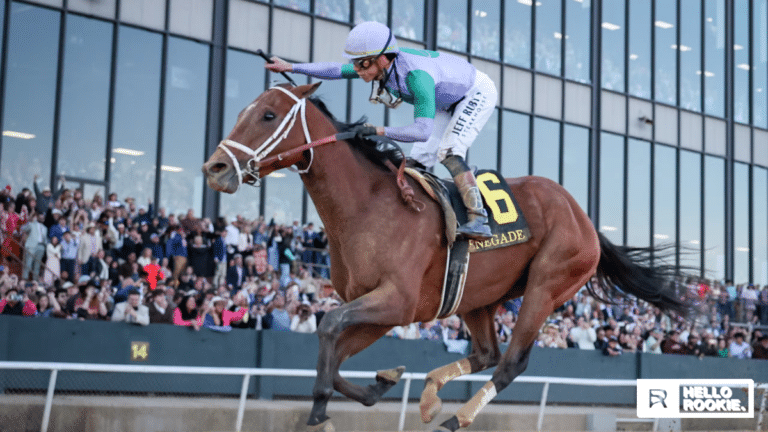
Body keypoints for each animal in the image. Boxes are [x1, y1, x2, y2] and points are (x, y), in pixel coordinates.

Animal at [202, 82, 689, 432]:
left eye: (267, 115)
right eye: (243, 112)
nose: (214, 168)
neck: (367, 206)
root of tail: (584, 217)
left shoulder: (396, 302)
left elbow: (328, 326)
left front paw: (320, 408)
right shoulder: (383, 309)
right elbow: (334, 345)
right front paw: (380, 384)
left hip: (548, 284)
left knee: (511, 361)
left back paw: (457, 417)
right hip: (477, 298)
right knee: (488, 352)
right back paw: (431, 392)